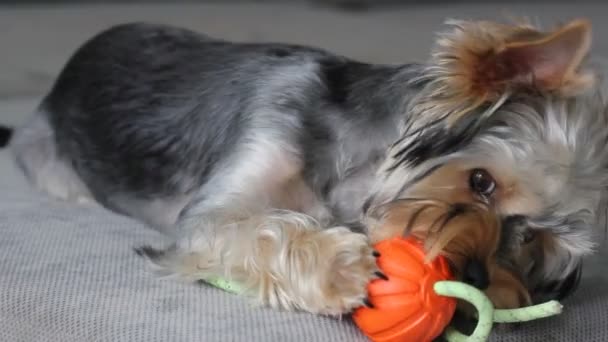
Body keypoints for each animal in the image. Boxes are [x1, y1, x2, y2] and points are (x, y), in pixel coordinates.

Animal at [7, 18, 604, 318]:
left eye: (535, 245)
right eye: (481, 181)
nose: (475, 279)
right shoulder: (219, 204)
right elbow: (256, 226)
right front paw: (341, 267)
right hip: (50, 161)